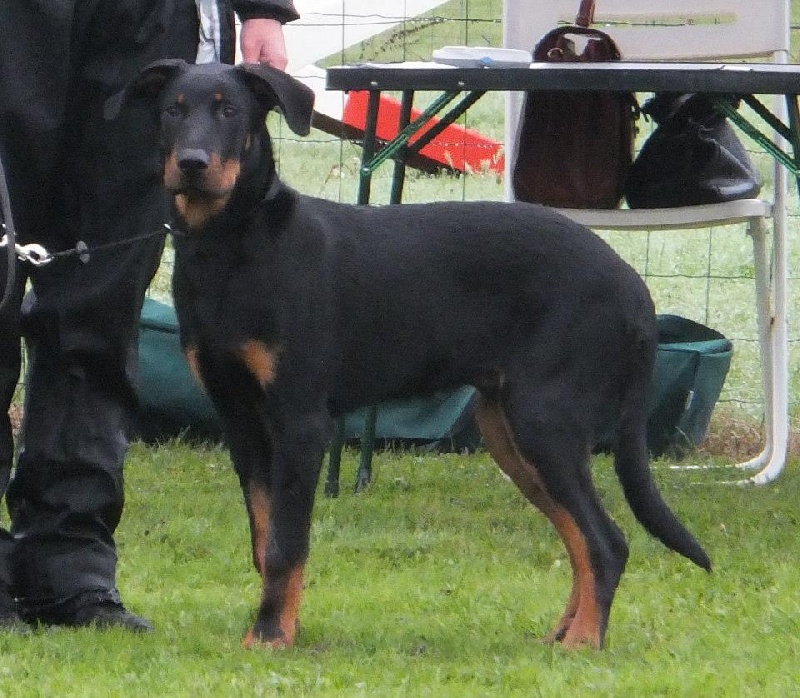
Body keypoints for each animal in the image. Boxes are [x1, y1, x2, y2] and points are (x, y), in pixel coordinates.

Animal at [103, 59, 708, 648]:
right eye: (172, 110)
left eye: (230, 111)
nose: (192, 164)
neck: (231, 246)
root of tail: (632, 285)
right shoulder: (240, 418)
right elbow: (263, 536)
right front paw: (275, 626)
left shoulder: (300, 420)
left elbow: (286, 544)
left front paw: (272, 636)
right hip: (508, 429)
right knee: (583, 538)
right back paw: (562, 635)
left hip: (545, 419)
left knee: (606, 540)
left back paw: (583, 643)